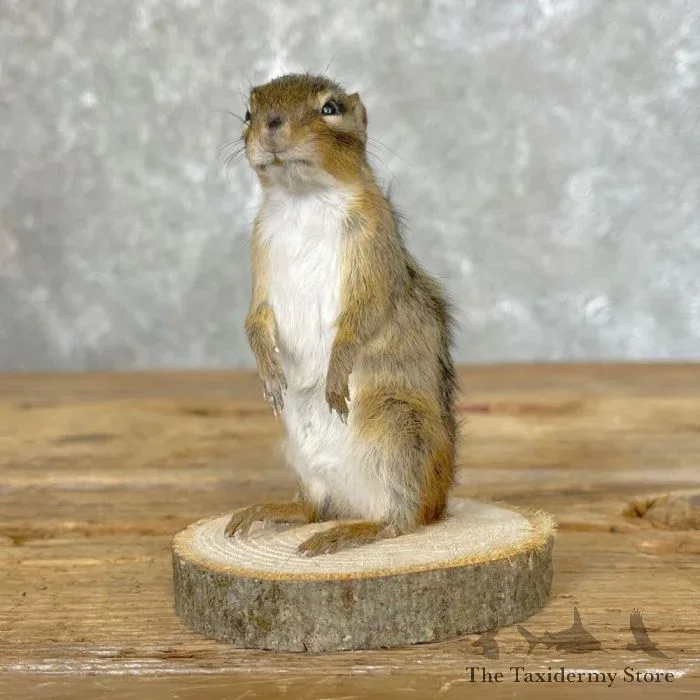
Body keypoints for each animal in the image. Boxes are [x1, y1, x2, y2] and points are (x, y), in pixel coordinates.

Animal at [224, 73, 457, 557]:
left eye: (330, 108)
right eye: (249, 112)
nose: (271, 124)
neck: (303, 201)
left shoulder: (373, 247)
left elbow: (360, 321)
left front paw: (335, 377)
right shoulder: (260, 253)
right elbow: (253, 319)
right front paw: (268, 372)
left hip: (400, 431)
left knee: (401, 522)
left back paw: (350, 532)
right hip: (303, 453)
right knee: (314, 507)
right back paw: (271, 510)